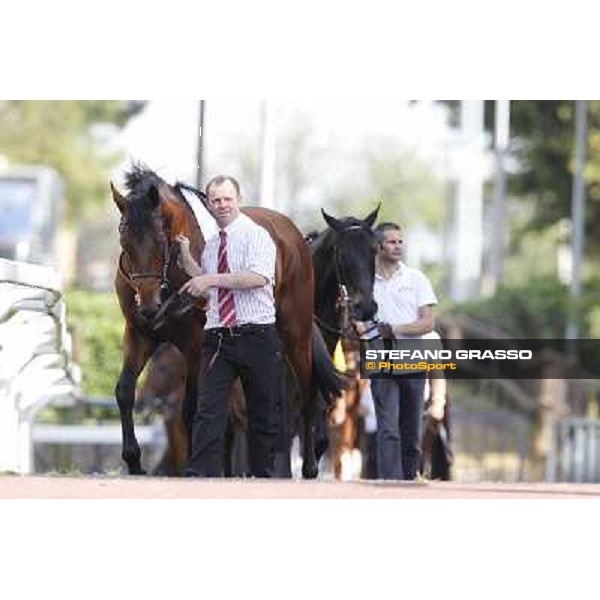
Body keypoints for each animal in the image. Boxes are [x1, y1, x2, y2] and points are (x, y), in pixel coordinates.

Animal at [110, 165, 340, 478]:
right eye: (125, 243)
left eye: (159, 241)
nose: (148, 305)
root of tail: (294, 234)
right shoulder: (139, 333)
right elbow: (124, 391)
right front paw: (133, 460)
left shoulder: (195, 343)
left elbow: (192, 407)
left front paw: (193, 465)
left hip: (296, 332)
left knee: (305, 391)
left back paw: (309, 466)